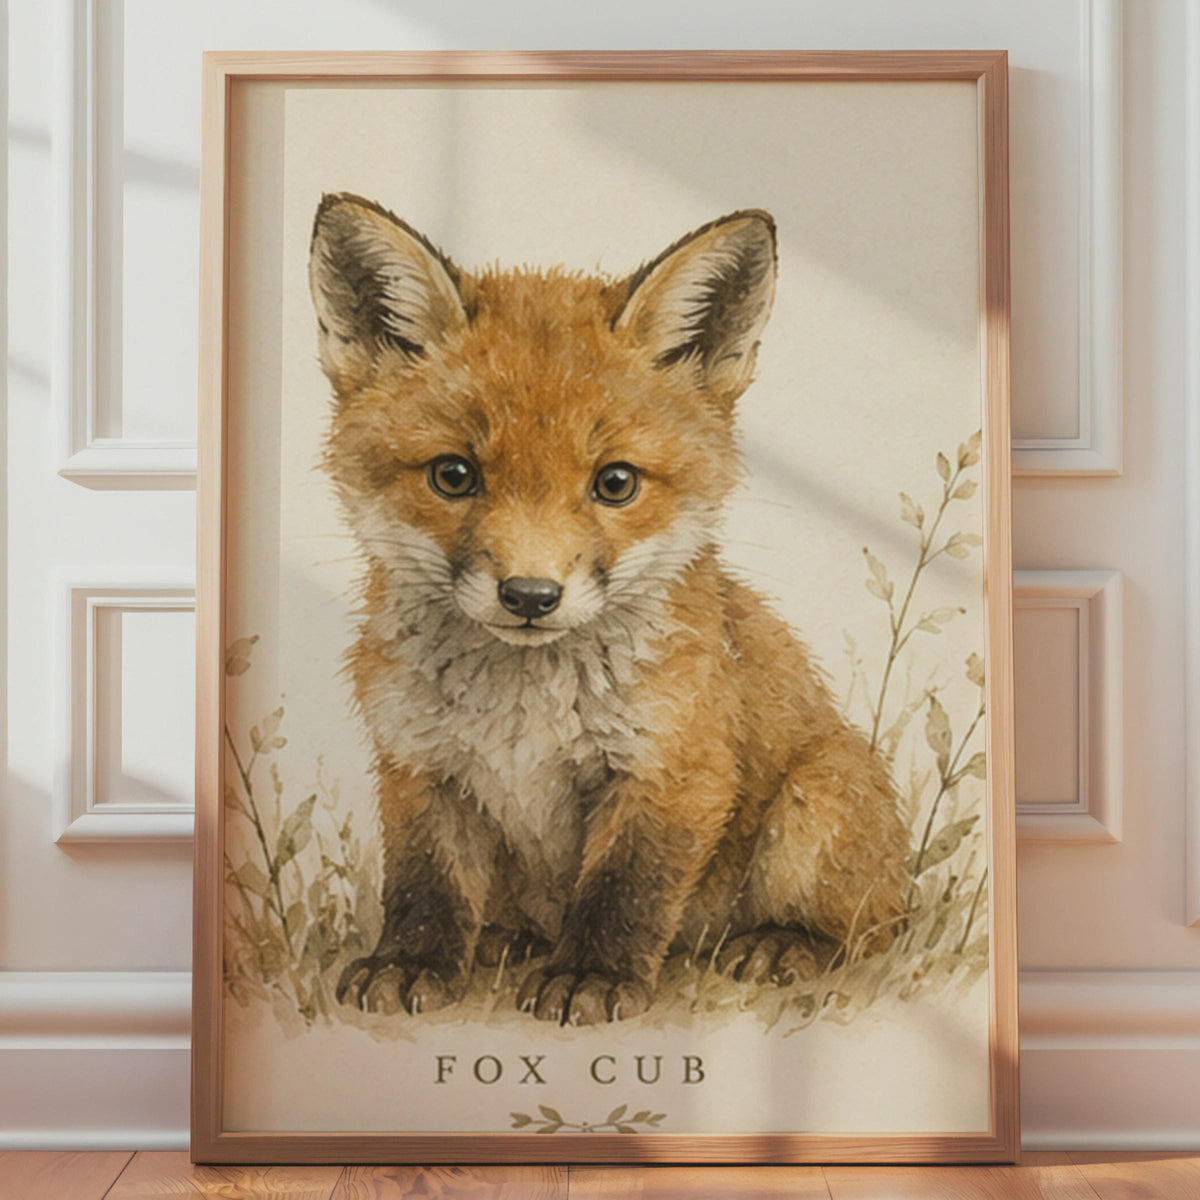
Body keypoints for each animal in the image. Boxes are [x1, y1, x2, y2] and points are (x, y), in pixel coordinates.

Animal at [307, 193, 911, 1026]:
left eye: (615, 483)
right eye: (454, 475)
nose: (530, 596)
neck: (523, 708)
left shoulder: (674, 767)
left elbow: (625, 890)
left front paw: (591, 978)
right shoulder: (419, 763)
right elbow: (426, 882)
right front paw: (413, 963)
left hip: (817, 802)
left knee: (872, 925)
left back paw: (784, 944)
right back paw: (506, 940)